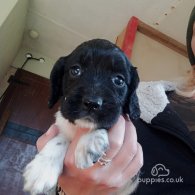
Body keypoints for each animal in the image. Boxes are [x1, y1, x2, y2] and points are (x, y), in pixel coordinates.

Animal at [23, 38, 140, 194]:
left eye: (119, 80)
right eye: (75, 70)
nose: (92, 103)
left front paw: (90, 141)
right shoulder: (61, 126)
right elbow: (59, 139)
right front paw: (42, 168)